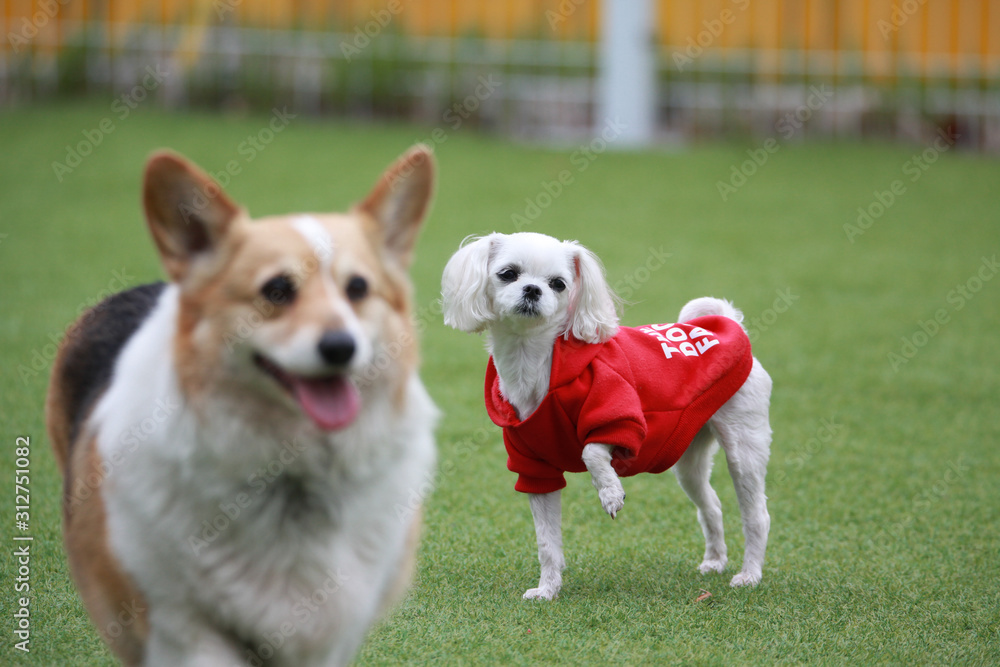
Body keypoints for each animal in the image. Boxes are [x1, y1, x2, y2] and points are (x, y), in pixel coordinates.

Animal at [440, 234, 772, 600]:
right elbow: (546, 541)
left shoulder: (622, 423)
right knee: (711, 504)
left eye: (558, 284)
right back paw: (715, 561)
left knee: (757, 515)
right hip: (689, 460)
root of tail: (732, 324)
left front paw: (611, 493)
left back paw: (750, 575)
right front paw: (548, 589)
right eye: (508, 274)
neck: (537, 363)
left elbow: (590, 451)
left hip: (744, 444)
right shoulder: (534, 468)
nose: (533, 290)